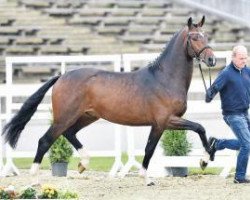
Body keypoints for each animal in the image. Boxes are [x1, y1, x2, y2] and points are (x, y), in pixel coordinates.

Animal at [2, 16, 215, 186]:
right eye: (194, 37)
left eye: (206, 36)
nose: (212, 60)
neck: (164, 78)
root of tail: (61, 76)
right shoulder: (164, 121)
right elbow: (159, 145)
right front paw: (149, 179)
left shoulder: (166, 123)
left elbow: (195, 130)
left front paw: (205, 160)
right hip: (65, 117)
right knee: (45, 140)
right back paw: (35, 180)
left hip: (87, 116)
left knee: (70, 133)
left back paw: (83, 164)